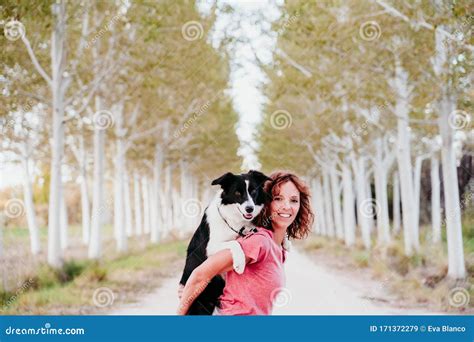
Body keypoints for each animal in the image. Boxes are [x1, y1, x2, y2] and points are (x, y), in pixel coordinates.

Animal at [178, 170, 270, 316]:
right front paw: (240, 263)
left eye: (253, 191)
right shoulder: (210, 247)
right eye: (237, 193)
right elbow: (235, 243)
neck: (233, 219)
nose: (249, 209)